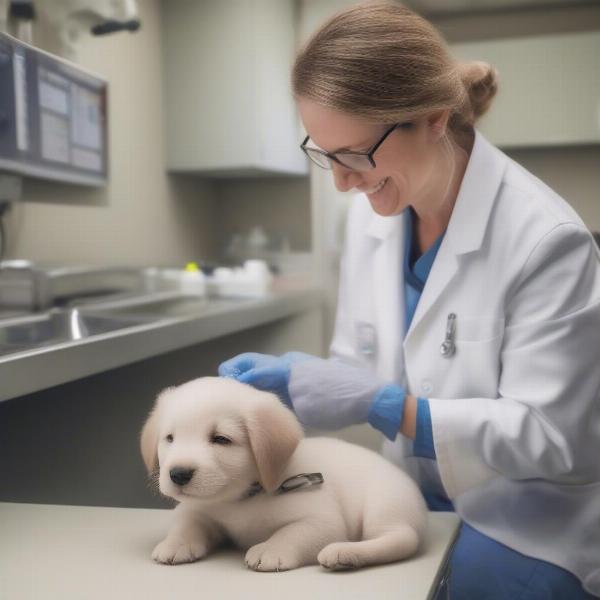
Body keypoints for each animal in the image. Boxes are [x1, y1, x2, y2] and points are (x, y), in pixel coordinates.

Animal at [139, 376, 426, 572]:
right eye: (170, 438)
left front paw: (271, 549)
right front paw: (176, 543)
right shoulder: (196, 509)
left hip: (384, 502)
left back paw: (344, 553)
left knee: (401, 539)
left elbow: (292, 533)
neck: (241, 500)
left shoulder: (322, 520)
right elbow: (187, 523)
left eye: (220, 439)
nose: (178, 474)